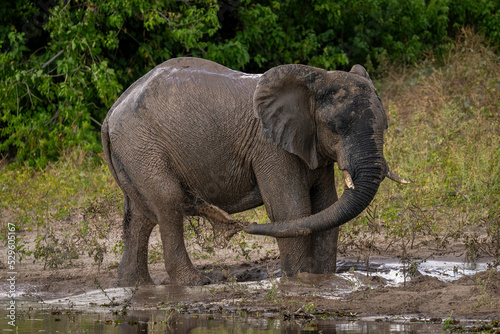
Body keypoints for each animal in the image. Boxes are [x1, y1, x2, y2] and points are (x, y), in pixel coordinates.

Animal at [99, 56, 408, 286]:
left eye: (385, 126)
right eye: (335, 128)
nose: (231, 226)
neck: (315, 78)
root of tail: (111, 112)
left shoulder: (312, 148)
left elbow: (326, 206)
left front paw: (324, 280)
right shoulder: (270, 147)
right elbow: (291, 209)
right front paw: (299, 281)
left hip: (134, 153)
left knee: (140, 216)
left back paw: (135, 285)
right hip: (142, 147)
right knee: (168, 203)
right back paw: (195, 283)